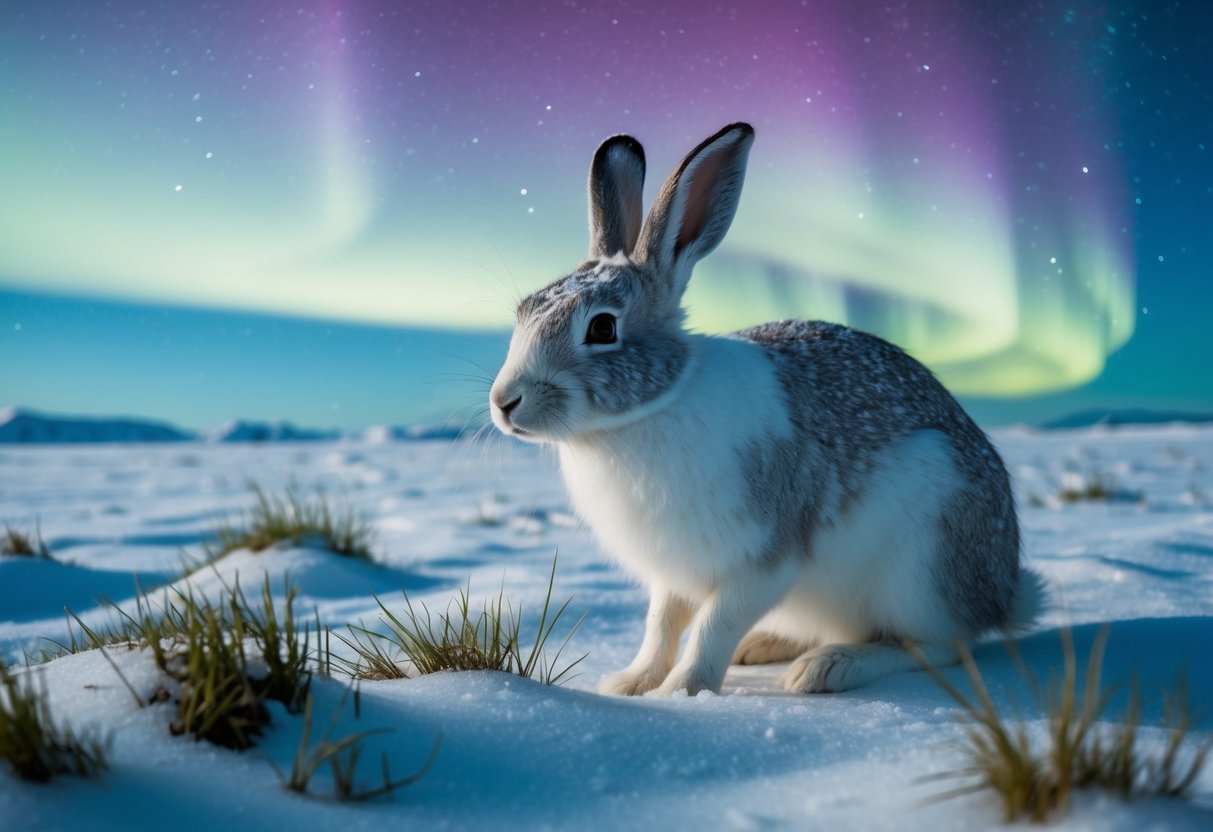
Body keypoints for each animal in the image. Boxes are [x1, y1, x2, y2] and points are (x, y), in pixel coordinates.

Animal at [489, 122, 1045, 696]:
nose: (505, 403)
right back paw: (764, 648)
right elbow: (661, 624)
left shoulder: (765, 559)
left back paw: (826, 668)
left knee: (936, 645)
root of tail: (1001, 596)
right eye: (524, 311)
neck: (648, 411)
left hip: (921, 562)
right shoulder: (675, 572)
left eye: (602, 328)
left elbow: (715, 624)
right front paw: (630, 684)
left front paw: (683, 692)